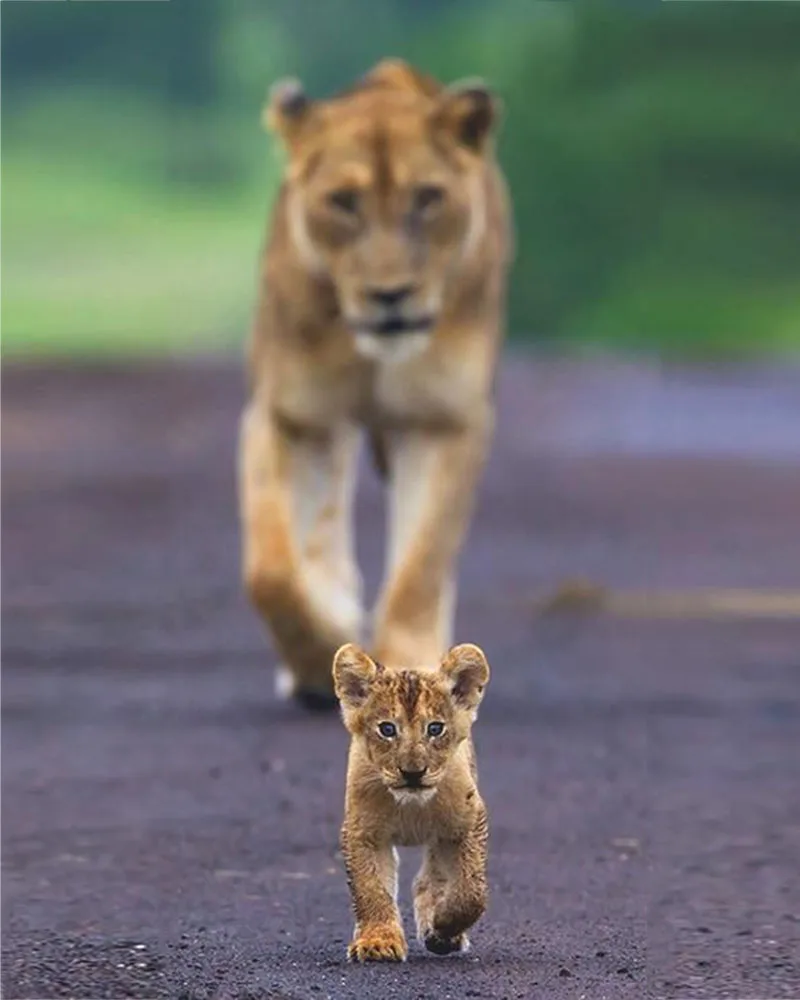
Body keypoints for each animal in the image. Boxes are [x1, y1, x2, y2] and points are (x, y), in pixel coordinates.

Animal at [238, 58, 513, 707]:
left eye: (428, 197)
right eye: (343, 202)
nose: (391, 294)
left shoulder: (444, 420)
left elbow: (422, 562)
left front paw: (415, 664)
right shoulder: (290, 415)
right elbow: (271, 571)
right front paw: (316, 660)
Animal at [332, 641, 491, 962]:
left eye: (435, 728)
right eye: (387, 729)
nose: (413, 772)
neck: (411, 805)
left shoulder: (468, 823)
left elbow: (471, 891)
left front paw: (443, 927)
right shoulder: (362, 831)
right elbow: (370, 889)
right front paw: (377, 942)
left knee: (431, 879)